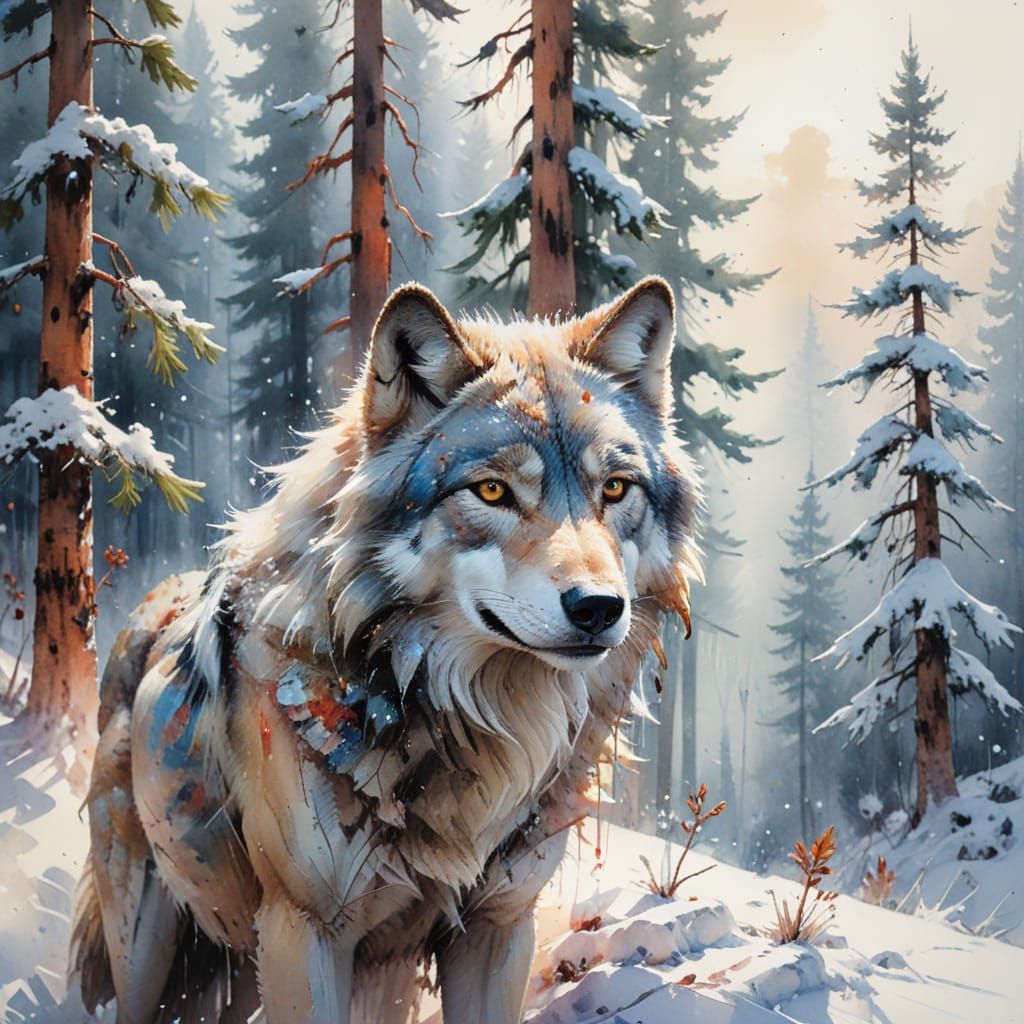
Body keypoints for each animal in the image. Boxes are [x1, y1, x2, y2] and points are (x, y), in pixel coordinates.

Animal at [72, 277, 701, 1024]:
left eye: (615, 489)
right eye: (492, 490)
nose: (599, 608)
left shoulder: (498, 928)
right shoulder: (304, 932)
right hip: (152, 948)